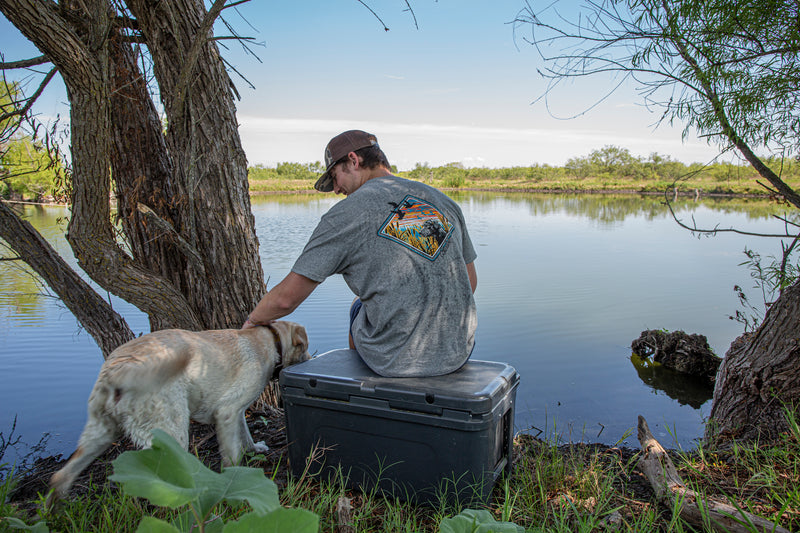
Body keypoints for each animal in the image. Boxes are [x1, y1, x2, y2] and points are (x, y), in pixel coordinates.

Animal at [45, 318, 310, 504]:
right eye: (304, 346)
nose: (309, 357)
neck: (270, 340)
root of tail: (120, 368)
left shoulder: (235, 411)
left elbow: (245, 436)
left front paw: (255, 449)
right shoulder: (227, 411)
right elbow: (232, 455)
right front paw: (232, 482)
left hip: (101, 433)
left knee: (60, 476)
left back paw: (56, 509)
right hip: (172, 431)